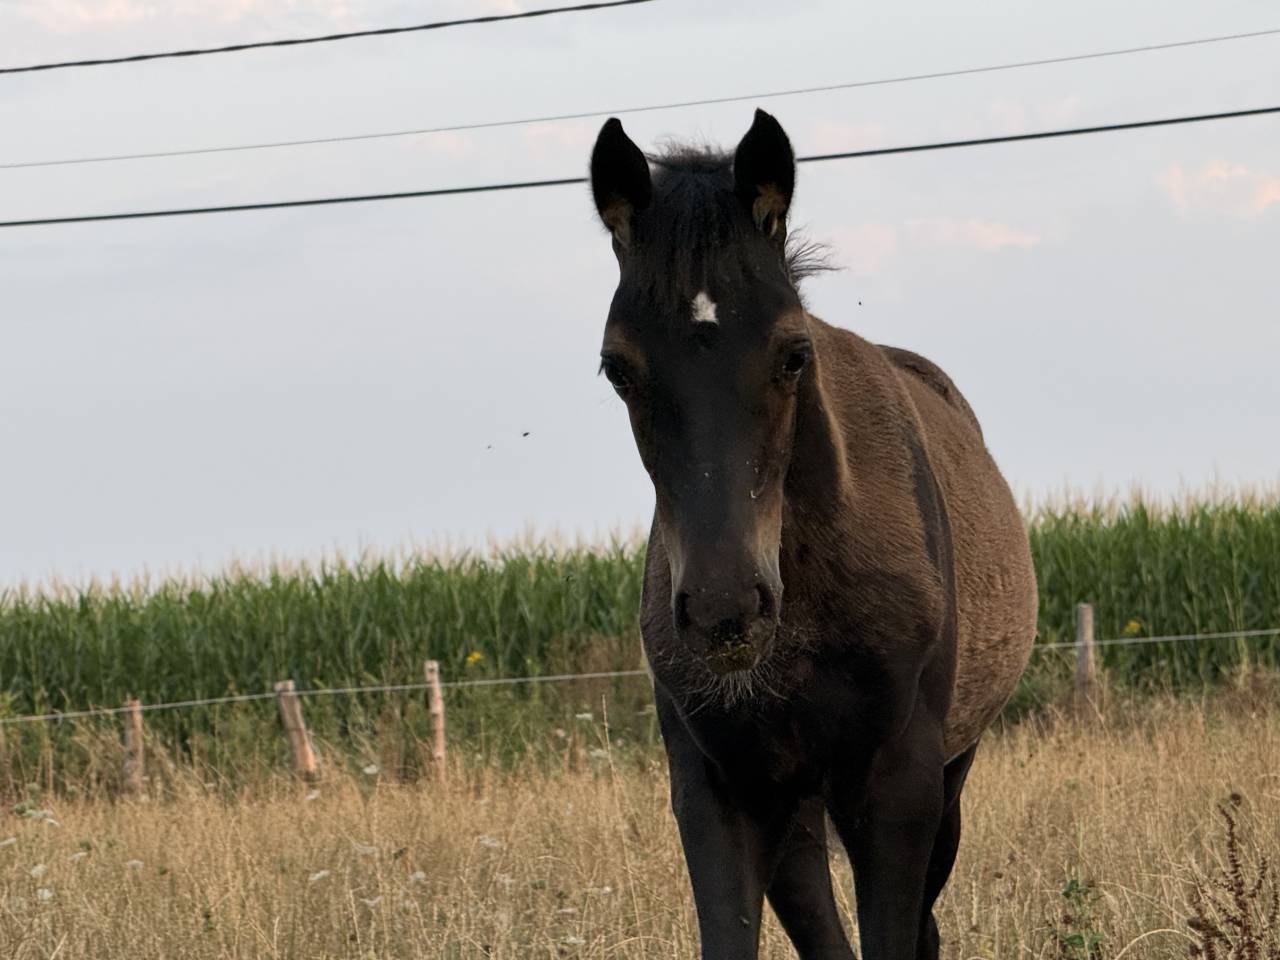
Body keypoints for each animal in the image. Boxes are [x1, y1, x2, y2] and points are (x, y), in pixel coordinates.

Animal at [587, 109, 1038, 960]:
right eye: (617, 369)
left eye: (795, 354)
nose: (726, 609)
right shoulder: (718, 789)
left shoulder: (898, 786)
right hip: (791, 806)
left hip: (947, 777)